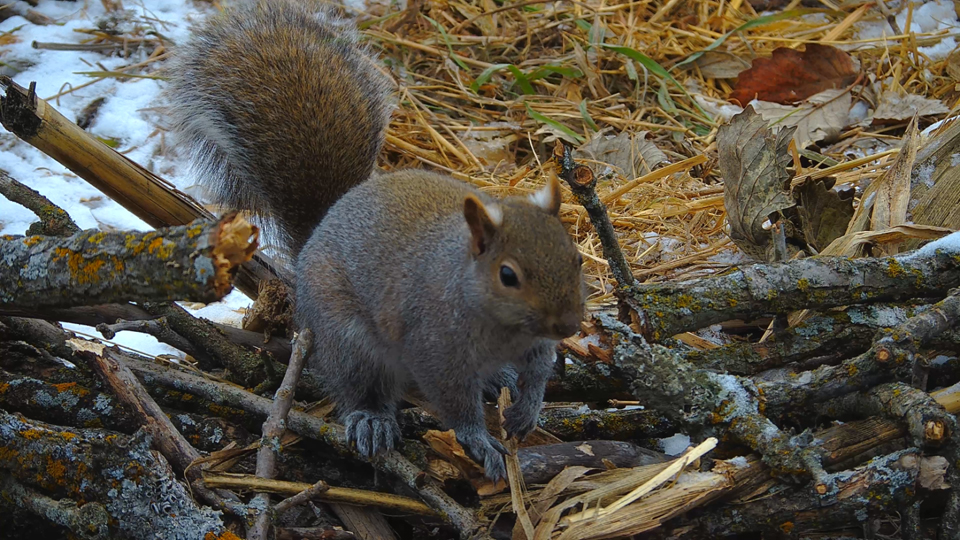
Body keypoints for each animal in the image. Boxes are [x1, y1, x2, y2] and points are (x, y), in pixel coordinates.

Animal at [166, 0, 584, 480]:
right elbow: (454, 404)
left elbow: (538, 372)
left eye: (577, 260)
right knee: (357, 386)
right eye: (508, 275)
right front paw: (479, 441)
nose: (569, 326)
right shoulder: (435, 347)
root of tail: (320, 231)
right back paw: (371, 420)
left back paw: (501, 381)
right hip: (350, 339)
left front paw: (527, 409)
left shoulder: (535, 346)